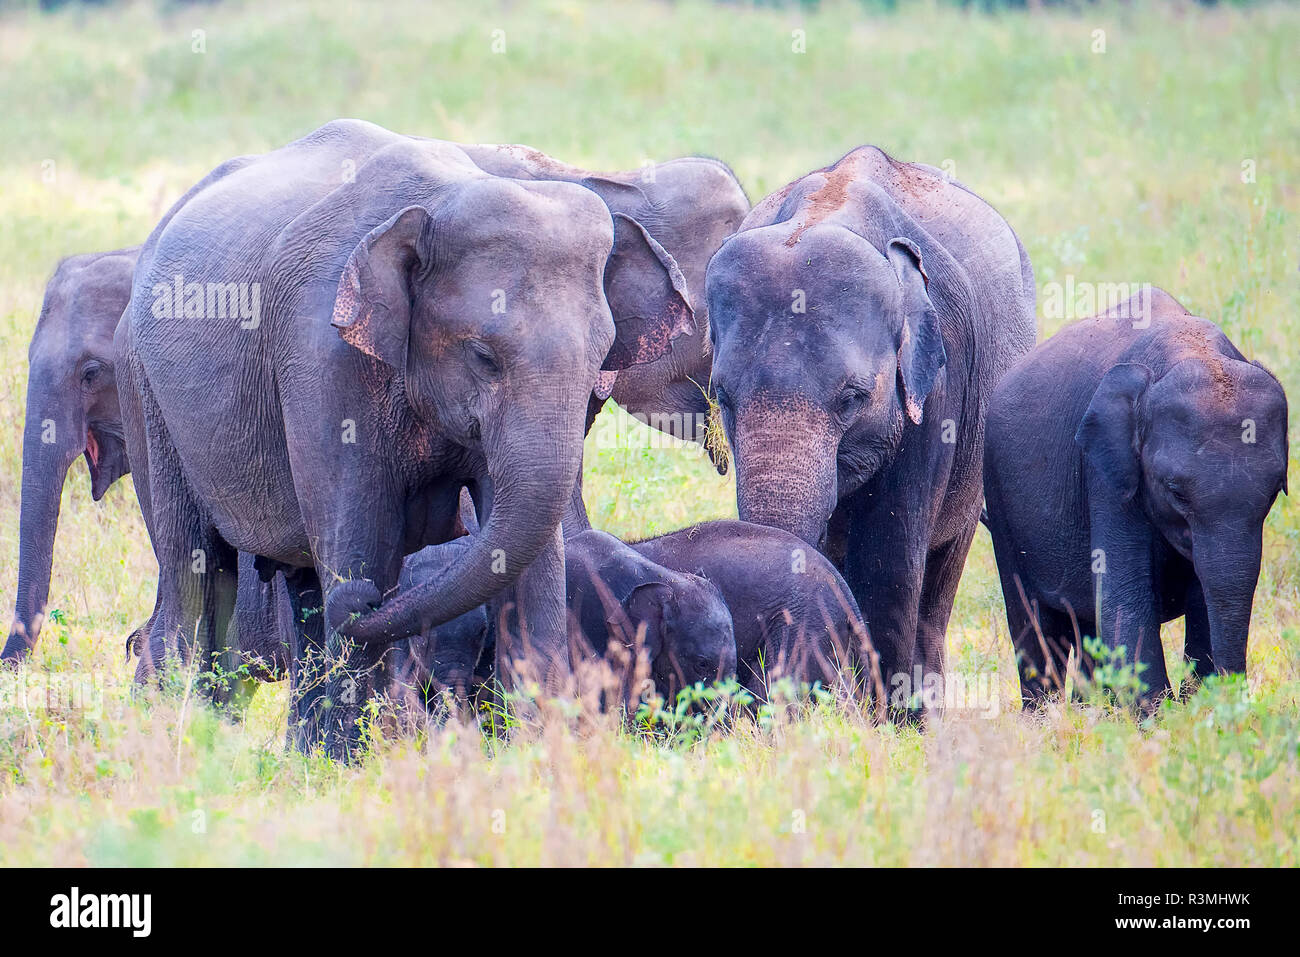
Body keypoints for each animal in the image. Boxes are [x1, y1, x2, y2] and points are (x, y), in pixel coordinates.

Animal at [116, 119, 696, 754]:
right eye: (483, 355)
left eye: (600, 360)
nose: (377, 598)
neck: (442, 202)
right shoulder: (321, 358)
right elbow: (363, 539)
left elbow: (533, 559)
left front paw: (539, 752)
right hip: (144, 393)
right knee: (195, 570)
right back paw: (180, 735)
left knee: (298, 587)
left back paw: (299, 748)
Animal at [702, 143, 1034, 712]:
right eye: (723, 397)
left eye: (852, 398)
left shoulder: (938, 385)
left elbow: (889, 561)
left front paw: (879, 721)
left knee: (938, 580)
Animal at [982, 287, 1289, 707]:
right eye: (1175, 492)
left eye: (1274, 492)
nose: (1235, 698)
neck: (1191, 350)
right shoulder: (1105, 470)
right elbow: (1124, 598)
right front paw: (1161, 714)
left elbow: (1203, 595)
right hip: (998, 493)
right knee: (1033, 618)